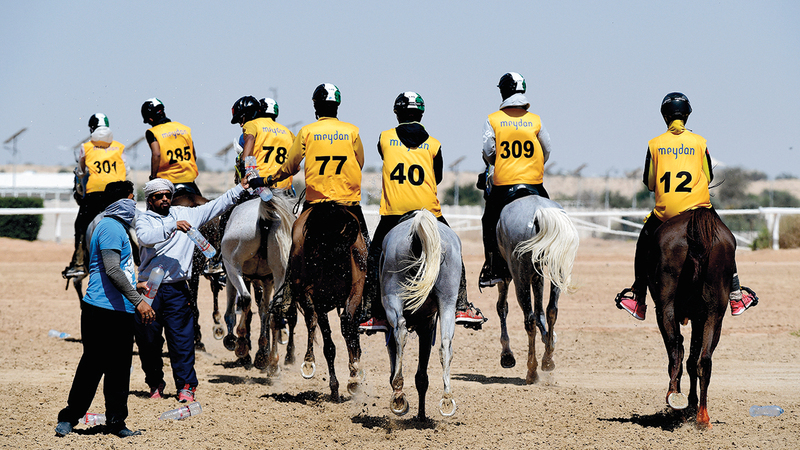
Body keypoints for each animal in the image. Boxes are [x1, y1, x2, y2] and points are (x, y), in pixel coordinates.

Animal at [219, 193, 296, 372]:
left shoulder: (235, 276)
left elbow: (232, 310)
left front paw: (232, 340)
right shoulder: (267, 281)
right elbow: (264, 312)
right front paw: (262, 353)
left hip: (233, 266)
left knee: (245, 299)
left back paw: (240, 343)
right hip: (280, 272)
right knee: (275, 311)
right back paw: (272, 363)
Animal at [382, 209, 460, 420]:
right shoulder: (428, 327)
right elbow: (422, 377)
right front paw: (422, 416)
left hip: (392, 298)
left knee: (400, 330)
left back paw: (398, 393)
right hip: (448, 300)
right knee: (446, 343)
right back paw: (447, 398)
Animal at [490, 194, 580, 384]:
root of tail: (539, 211)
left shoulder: (506, 276)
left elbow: (502, 307)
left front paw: (507, 355)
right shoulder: (538, 276)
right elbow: (541, 313)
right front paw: (549, 341)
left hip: (520, 276)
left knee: (528, 319)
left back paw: (532, 371)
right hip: (555, 269)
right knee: (551, 309)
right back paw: (547, 360)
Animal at [648, 207, 736, 428]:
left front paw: (687, 404)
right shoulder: (700, 317)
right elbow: (693, 360)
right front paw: (692, 405)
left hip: (665, 308)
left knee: (675, 351)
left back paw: (675, 401)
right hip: (714, 313)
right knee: (704, 360)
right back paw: (702, 417)